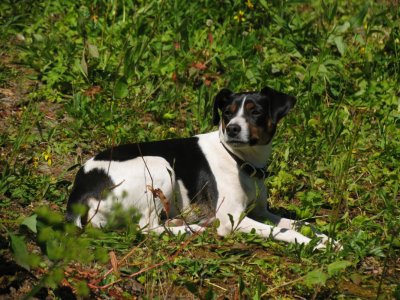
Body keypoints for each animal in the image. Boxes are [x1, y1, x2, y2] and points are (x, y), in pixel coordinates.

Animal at [66, 86, 332, 248]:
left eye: (256, 112)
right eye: (227, 113)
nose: (233, 128)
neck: (240, 160)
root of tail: (78, 193)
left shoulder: (260, 212)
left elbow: (299, 223)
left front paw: (328, 241)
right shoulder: (232, 219)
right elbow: (286, 232)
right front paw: (313, 244)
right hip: (159, 165)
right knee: (146, 229)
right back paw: (192, 229)